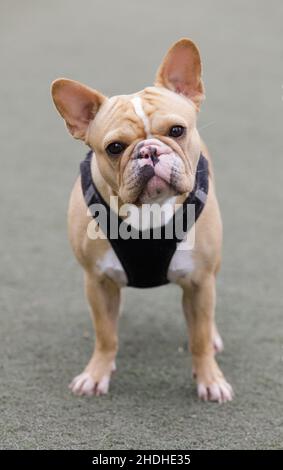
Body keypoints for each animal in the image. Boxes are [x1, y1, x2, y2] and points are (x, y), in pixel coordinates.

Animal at [51, 38, 233, 402]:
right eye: (115, 147)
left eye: (177, 130)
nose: (148, 150)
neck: (149, 209)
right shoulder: (96, 280)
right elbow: (106, 336)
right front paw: (97, 373)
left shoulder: (200, 281)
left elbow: (199, 338)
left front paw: (210, 379)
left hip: (212, 271)